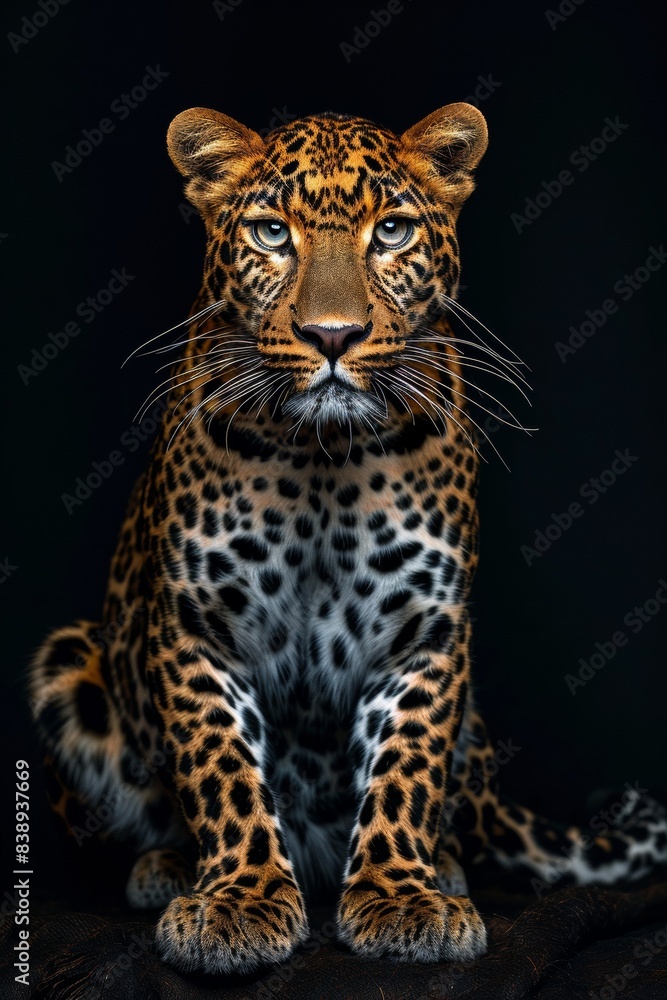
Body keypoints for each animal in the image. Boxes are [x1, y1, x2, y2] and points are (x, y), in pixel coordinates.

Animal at [30, 102, 667, 976]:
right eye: (271, 232)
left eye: (391, 231)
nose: (332, 336)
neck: (321, 458)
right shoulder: (198, 627)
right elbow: (222, 769)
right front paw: (240, 900)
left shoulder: (423, 632)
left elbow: (404, 769)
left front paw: (401, 898)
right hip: (67, 661)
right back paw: (168, 869)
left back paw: (444, 867)